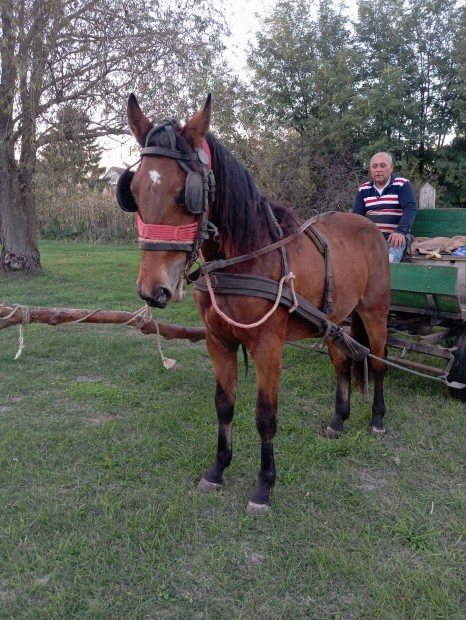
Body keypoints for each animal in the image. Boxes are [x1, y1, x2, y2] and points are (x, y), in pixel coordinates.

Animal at [116, 93, 390, 512]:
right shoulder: (219, 342)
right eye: (135, 191)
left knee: (375, 363)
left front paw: (264, 486)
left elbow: (265, 416)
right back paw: (338, 420)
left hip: (375, 313)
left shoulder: (267, 347)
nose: (153, 289)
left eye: (186, 195)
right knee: (343, 362)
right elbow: (224, 405)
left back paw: (376, 419)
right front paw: (217, 470)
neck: (247, 256)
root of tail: (369, 226)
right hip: (334, 320)